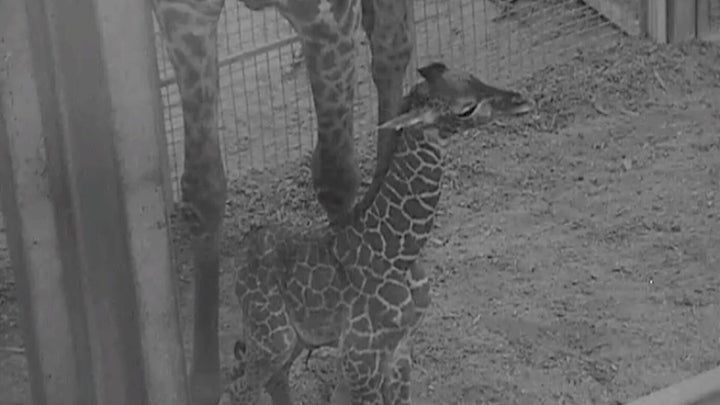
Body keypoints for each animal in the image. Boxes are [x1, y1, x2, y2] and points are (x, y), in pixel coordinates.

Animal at [149, 0, 414, 400]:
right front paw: (204, 380)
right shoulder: (184, 13)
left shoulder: (328, 17)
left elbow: (336, 175)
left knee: (390, 47)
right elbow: (204, 188)